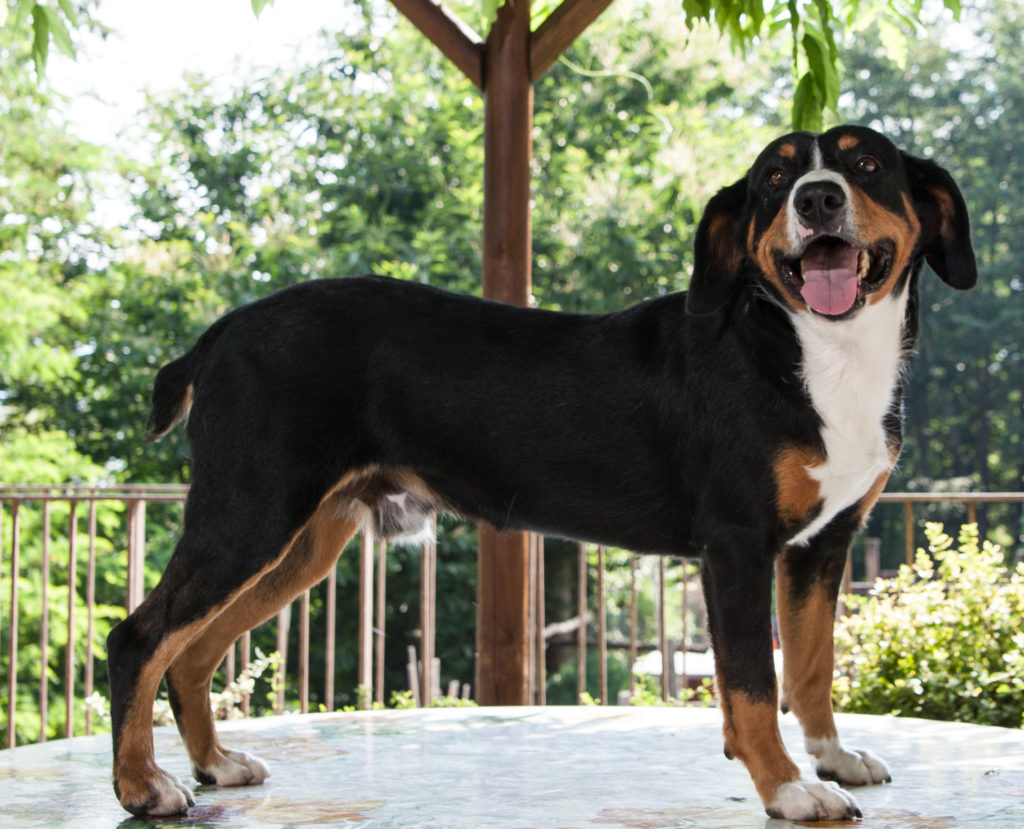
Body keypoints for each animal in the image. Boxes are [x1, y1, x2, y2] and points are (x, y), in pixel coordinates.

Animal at [105, 125, 974, 818]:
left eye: (866, 164)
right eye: (773, 178)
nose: (818, 198)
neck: (811, 352)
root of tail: (220, 332)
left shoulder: (821, 546)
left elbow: (813, 667)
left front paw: (831, 757)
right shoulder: (736, 544)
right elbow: (755, 686)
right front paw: (789, 787)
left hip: (300, 541)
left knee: (192, 649)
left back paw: (214, 764)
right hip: (248, 514)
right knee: (140, 636)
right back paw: (144, 787)